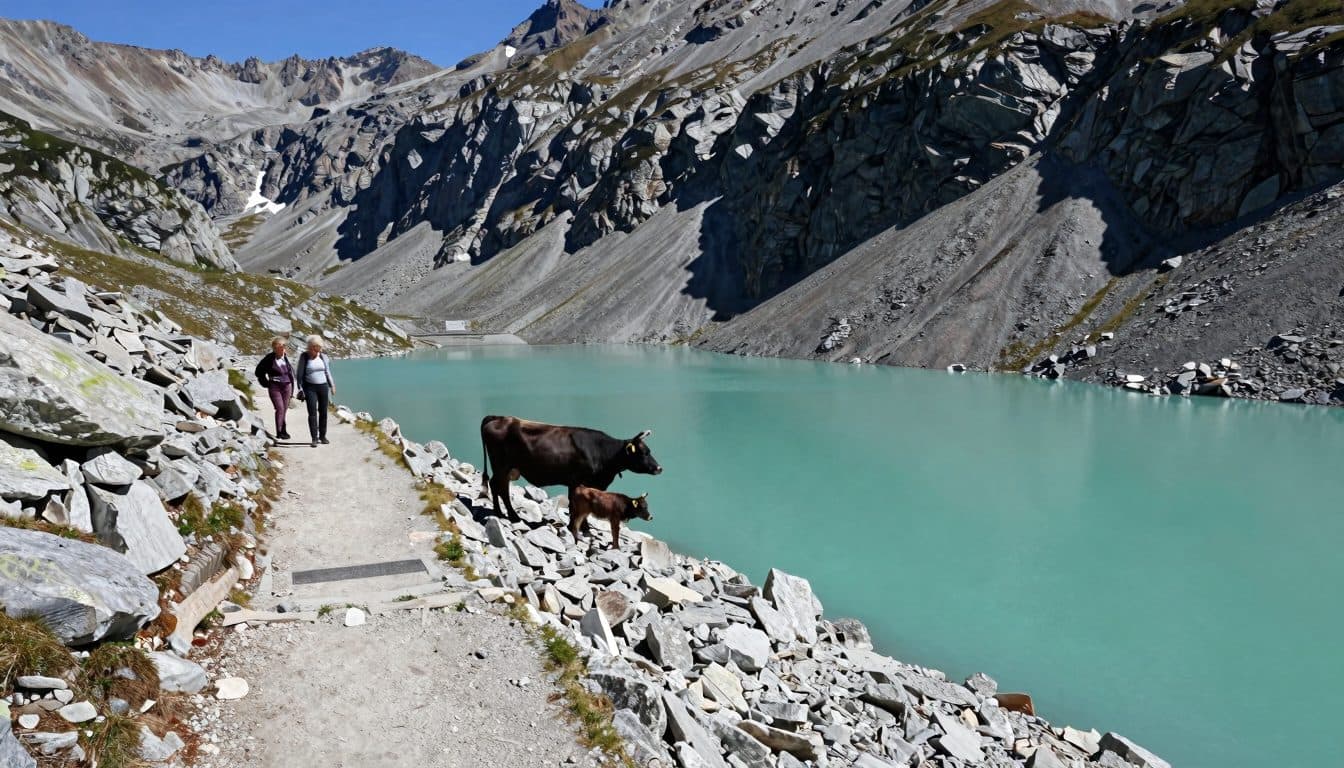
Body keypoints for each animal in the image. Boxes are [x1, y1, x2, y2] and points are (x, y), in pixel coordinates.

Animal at [479, 415, 663, 520]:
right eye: (644, 452)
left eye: (649, 451)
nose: (659, 468)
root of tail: (499, 417)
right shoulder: (577, 482)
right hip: (501, 465)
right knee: (498, 486)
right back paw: (507, 515)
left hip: (506, 467)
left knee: (500, 486)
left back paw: (503, 513)